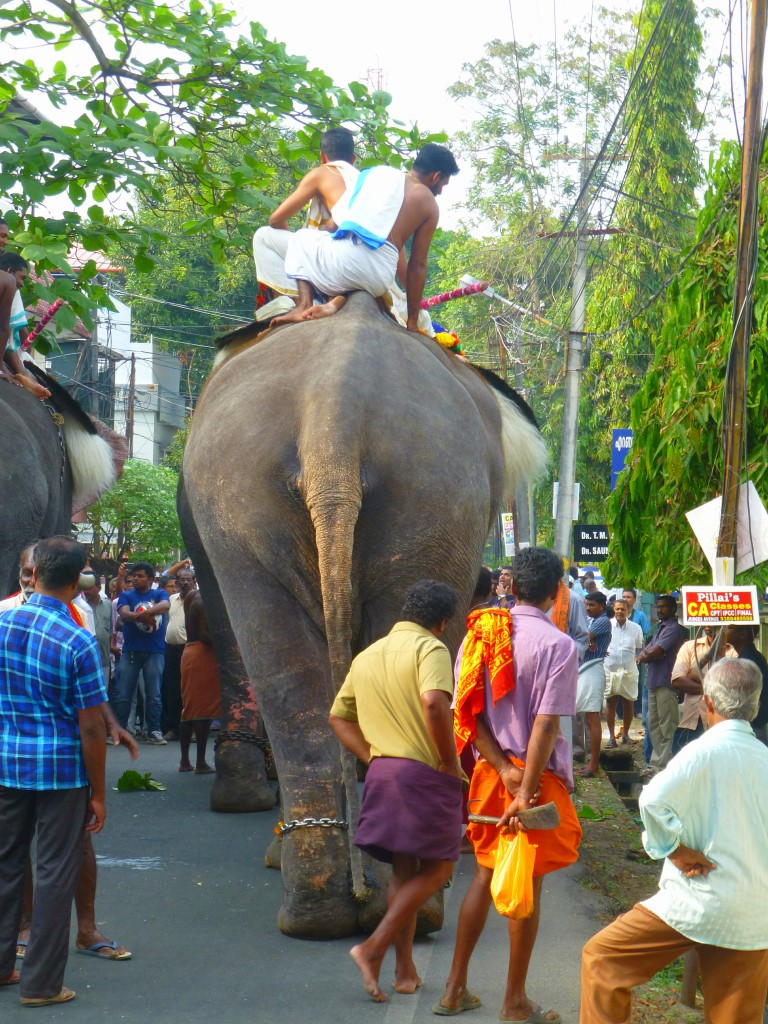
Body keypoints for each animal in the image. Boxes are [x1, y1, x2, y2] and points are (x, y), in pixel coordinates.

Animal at [180, 292, 548, 937]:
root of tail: (335, 405)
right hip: (427, 496)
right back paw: (392, 906)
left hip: (264, 502)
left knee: (280, 662)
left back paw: (334, 908)